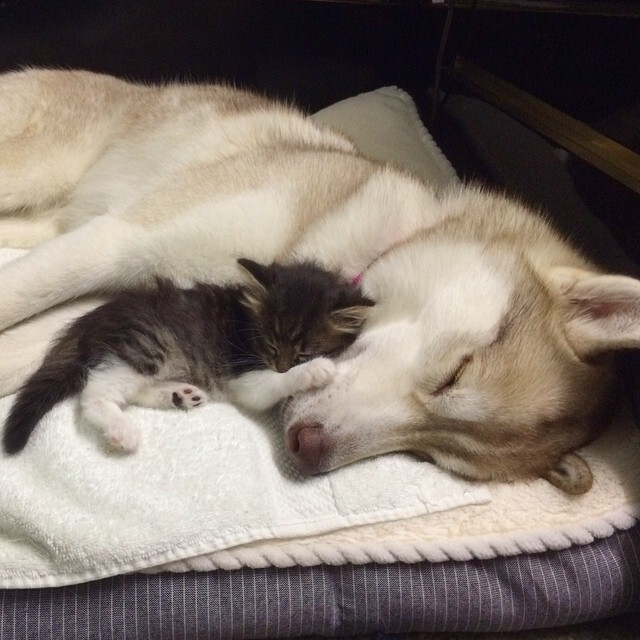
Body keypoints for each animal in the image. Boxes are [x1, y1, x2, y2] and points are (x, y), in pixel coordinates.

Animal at [2, 258, 372, 456]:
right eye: (270, 346)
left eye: (301, 352)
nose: (282, 364)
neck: (247, 323)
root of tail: (90, 320)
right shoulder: (243, 374)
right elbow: (268, 384)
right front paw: (316, 371)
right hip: (148, 344)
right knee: (95, 392)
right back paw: (122, 430)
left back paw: (179, 395)